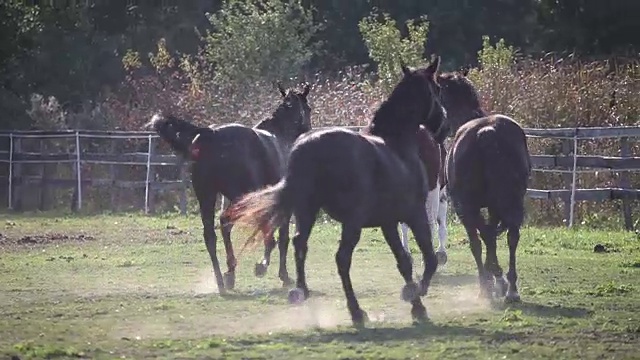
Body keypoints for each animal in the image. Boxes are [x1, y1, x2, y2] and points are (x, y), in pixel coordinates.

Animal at [148, 82, 312, 296]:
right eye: (308, 109)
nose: (309, 131)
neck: (281, 136)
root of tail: (213, 134)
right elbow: (280, 236)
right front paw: (275, 271)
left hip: (207, 195)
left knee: (212, 234)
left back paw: (223, 279)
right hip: (238, 195)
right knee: (227, 222)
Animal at [228, 58, 448, 326]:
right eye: (437, 89)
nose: (445, 127)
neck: (397, 146)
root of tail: (307, 147)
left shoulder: (388, 221)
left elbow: (403, 261)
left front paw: (416, 304)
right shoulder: (413, 213)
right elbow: (429, 258)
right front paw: (417, 294)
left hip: (307, 211)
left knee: (300, 243)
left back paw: (301, 291)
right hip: (351, 222)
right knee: (342, 258)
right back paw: (356, 311)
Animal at [442, 71, 532, 304]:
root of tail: (487, 131)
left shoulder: (464, 208)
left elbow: (480, 241)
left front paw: (490, 282)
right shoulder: (493, 206)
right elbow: (491, 236)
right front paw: (497, 279)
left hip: (468, 206)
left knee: (481, 239)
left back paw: (490, 284)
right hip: (512, 200)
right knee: (511, 237)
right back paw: (511, 289)